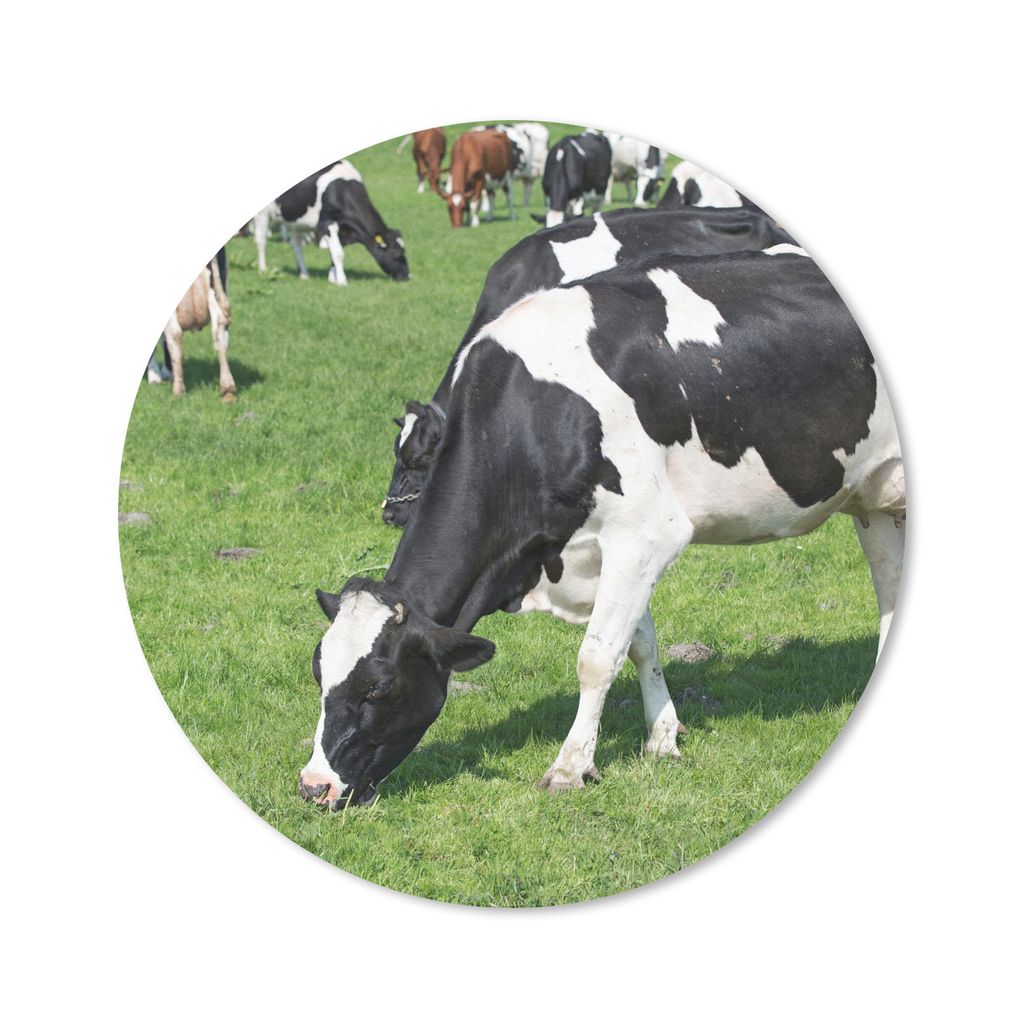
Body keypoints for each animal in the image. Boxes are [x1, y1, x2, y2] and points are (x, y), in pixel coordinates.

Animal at [253, 160, 409, 285]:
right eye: (397, 254)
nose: (407, 276)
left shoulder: (342, 229)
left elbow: (334, 253)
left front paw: (332, 278)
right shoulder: (328, 223)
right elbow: (338, 253)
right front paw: (342, 281)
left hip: (295, 222)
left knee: (297, 246)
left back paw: (304, 275)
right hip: (262, 214)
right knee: (261, 240)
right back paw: (262, 269)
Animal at [299, 249, 904, 808]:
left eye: (378, 687)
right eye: (318, 673)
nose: (313, 786)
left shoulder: (645, 532)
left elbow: (595, 658)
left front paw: (570, 767)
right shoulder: (603, 551)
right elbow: (639, 644)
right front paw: (662, 738)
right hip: (875, 502)